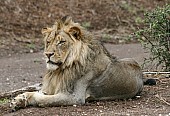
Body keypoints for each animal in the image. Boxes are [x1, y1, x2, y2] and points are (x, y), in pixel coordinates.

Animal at [10, 16, 147, 109]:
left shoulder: (75, 97)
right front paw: (19, 99)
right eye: (48, 42)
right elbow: (34, 92)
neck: (60, 70)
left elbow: (43, 98)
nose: (48, 54)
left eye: (61, 42)